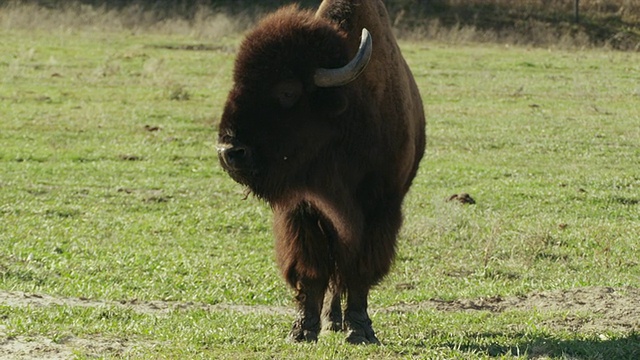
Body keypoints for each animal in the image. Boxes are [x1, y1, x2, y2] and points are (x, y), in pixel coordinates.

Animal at [219, 0, 424, 344]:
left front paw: (361, 329)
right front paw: (302, 330)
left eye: (287, 91)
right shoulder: (301, 210)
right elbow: (311, 270)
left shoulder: (378, 209)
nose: (229, 152)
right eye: (236, 82)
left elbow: (359, 269)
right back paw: (330, 320)